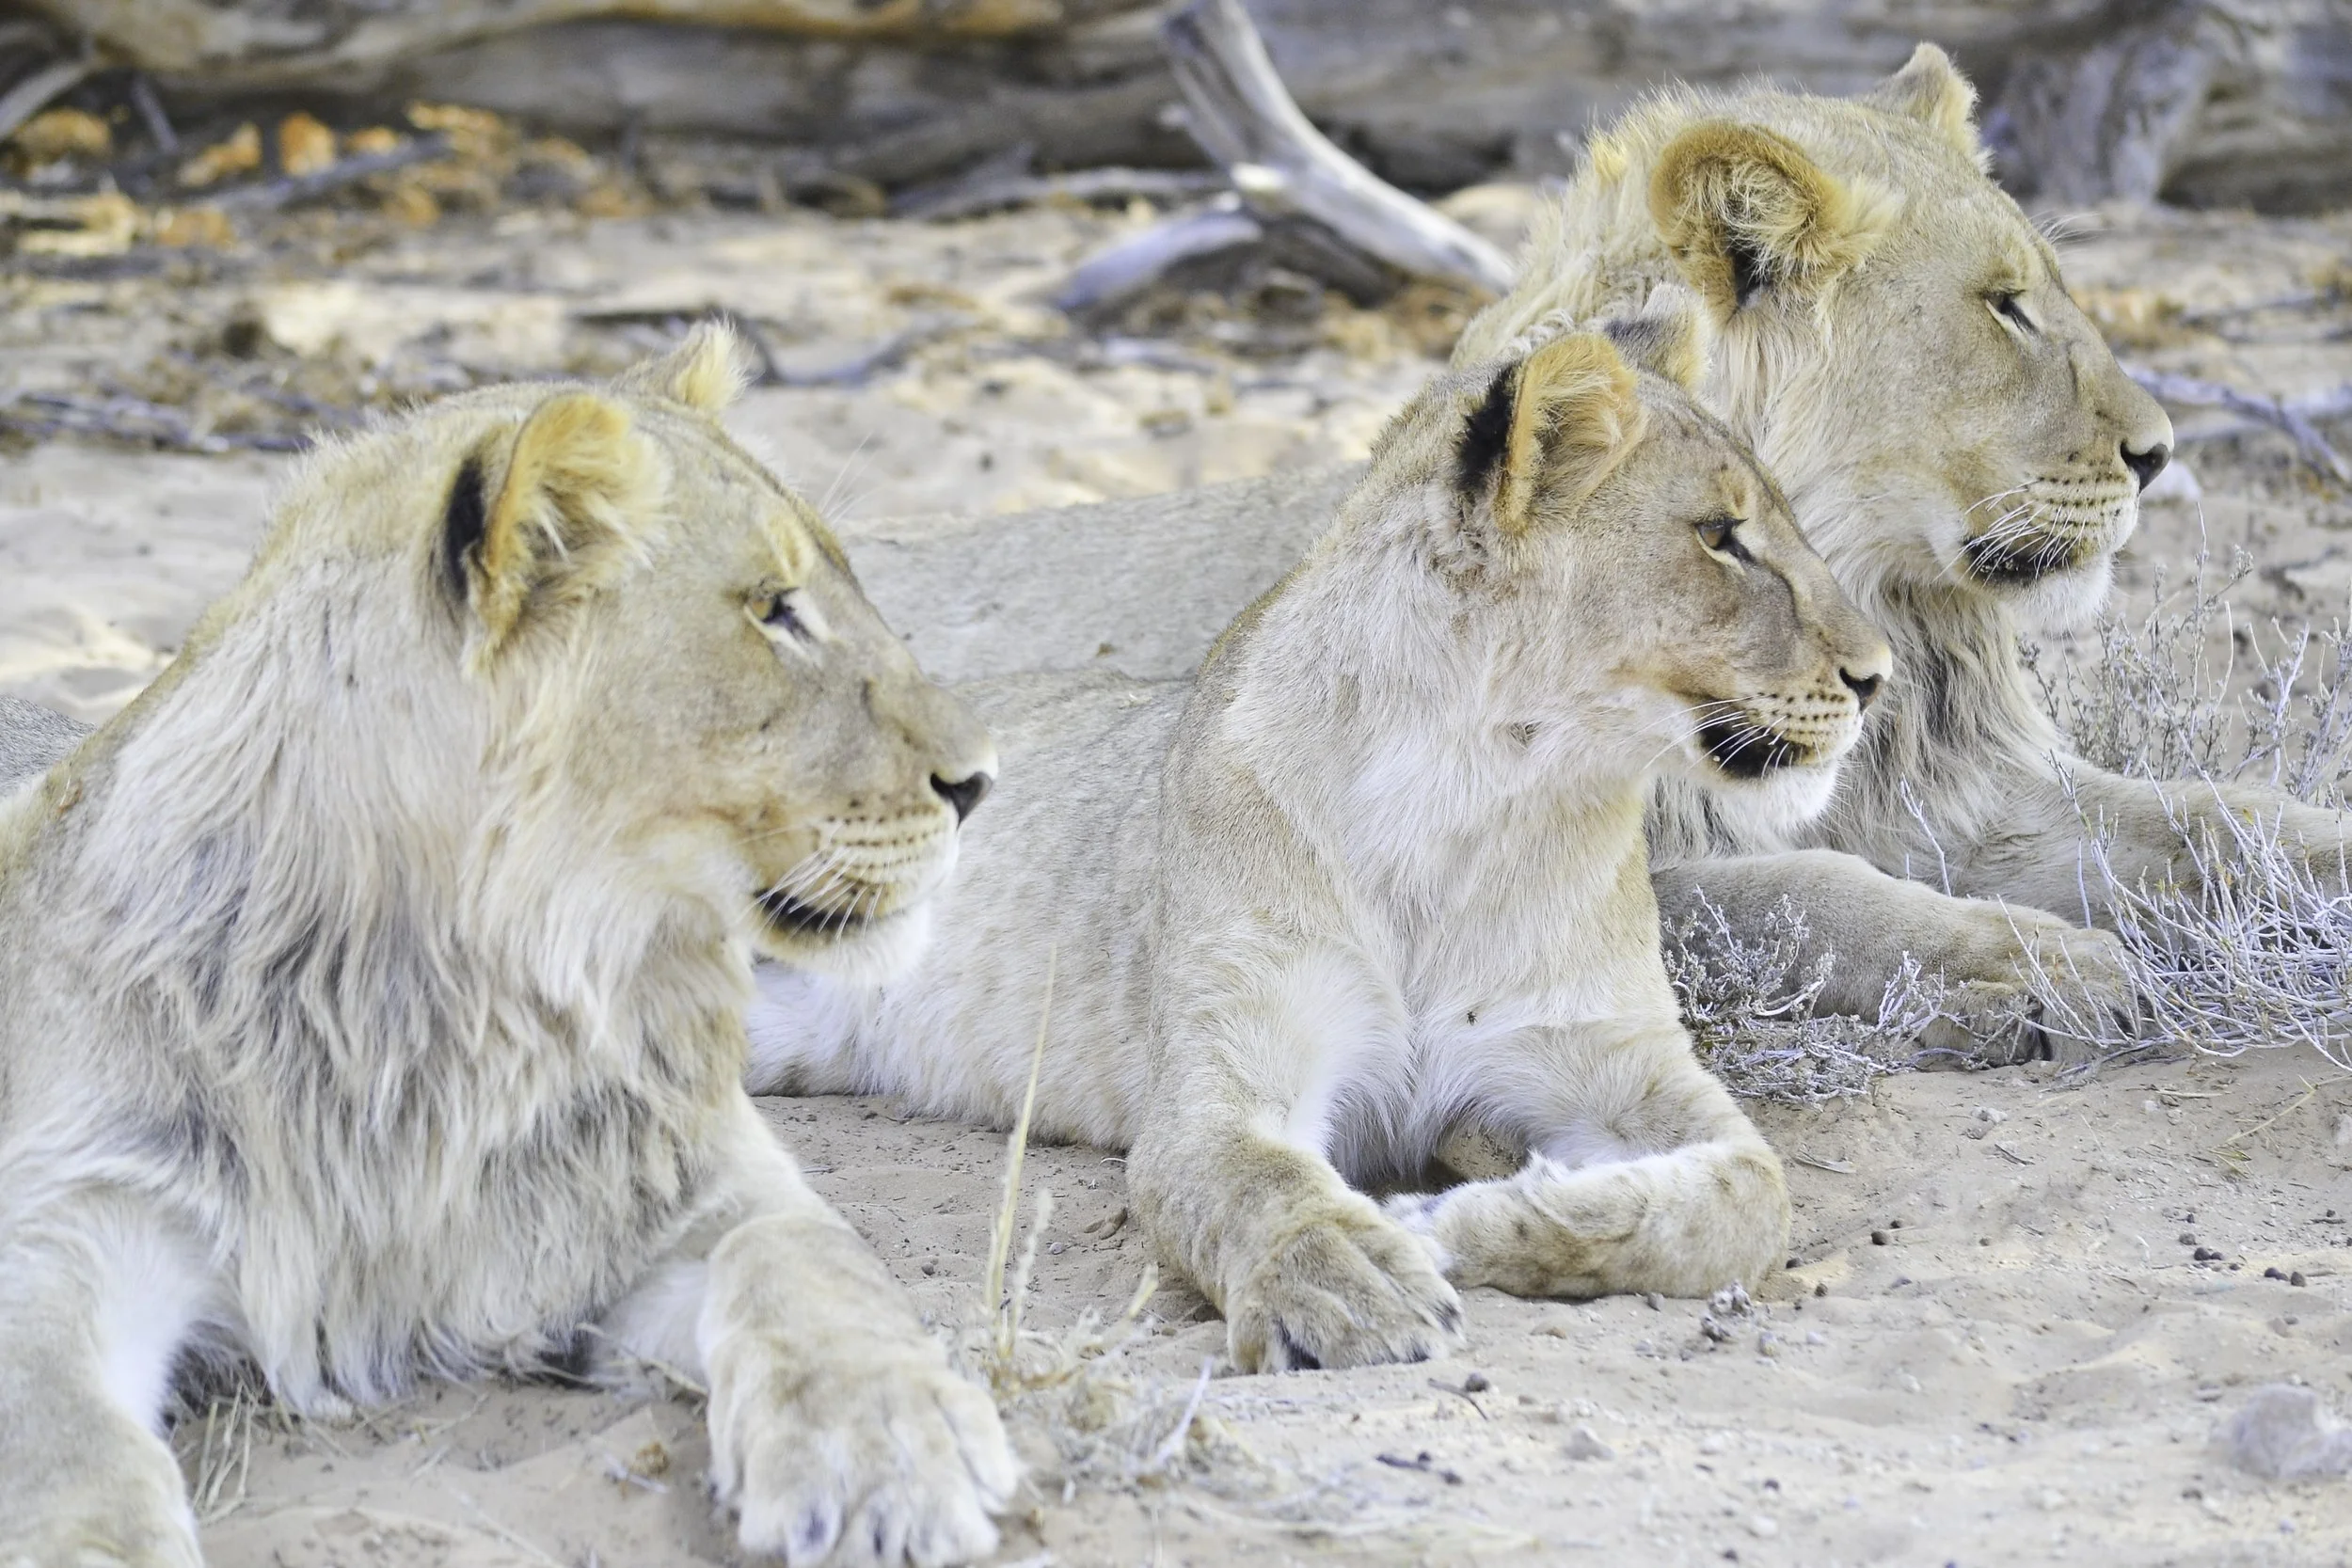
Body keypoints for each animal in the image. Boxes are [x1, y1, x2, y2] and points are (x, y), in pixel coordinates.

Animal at [0, 325, 1017, 1568]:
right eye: (775, 609)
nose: (981, 781)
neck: (462, 1005)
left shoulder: (698, 1183)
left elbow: (818, 1268)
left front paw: (888, 1448)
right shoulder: (74, 1209)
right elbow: (60, 1437)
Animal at [749, 303, 1894, 1370]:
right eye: (1720, 535)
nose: (1878, 674)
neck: (1473, 789)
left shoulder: (1614, 1054)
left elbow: (1747, 1196)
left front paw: (1461, 1215)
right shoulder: (1221, 1079)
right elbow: (1262, 1181)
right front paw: (1347, 1281)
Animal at [1454, 45, 2352, 1060]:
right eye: (2004, 307)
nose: (2158, 455)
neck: (1868, 598)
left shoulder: (1959, 792)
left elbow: (2215, 815)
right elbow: (1810, 891)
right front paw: (2039, 965)